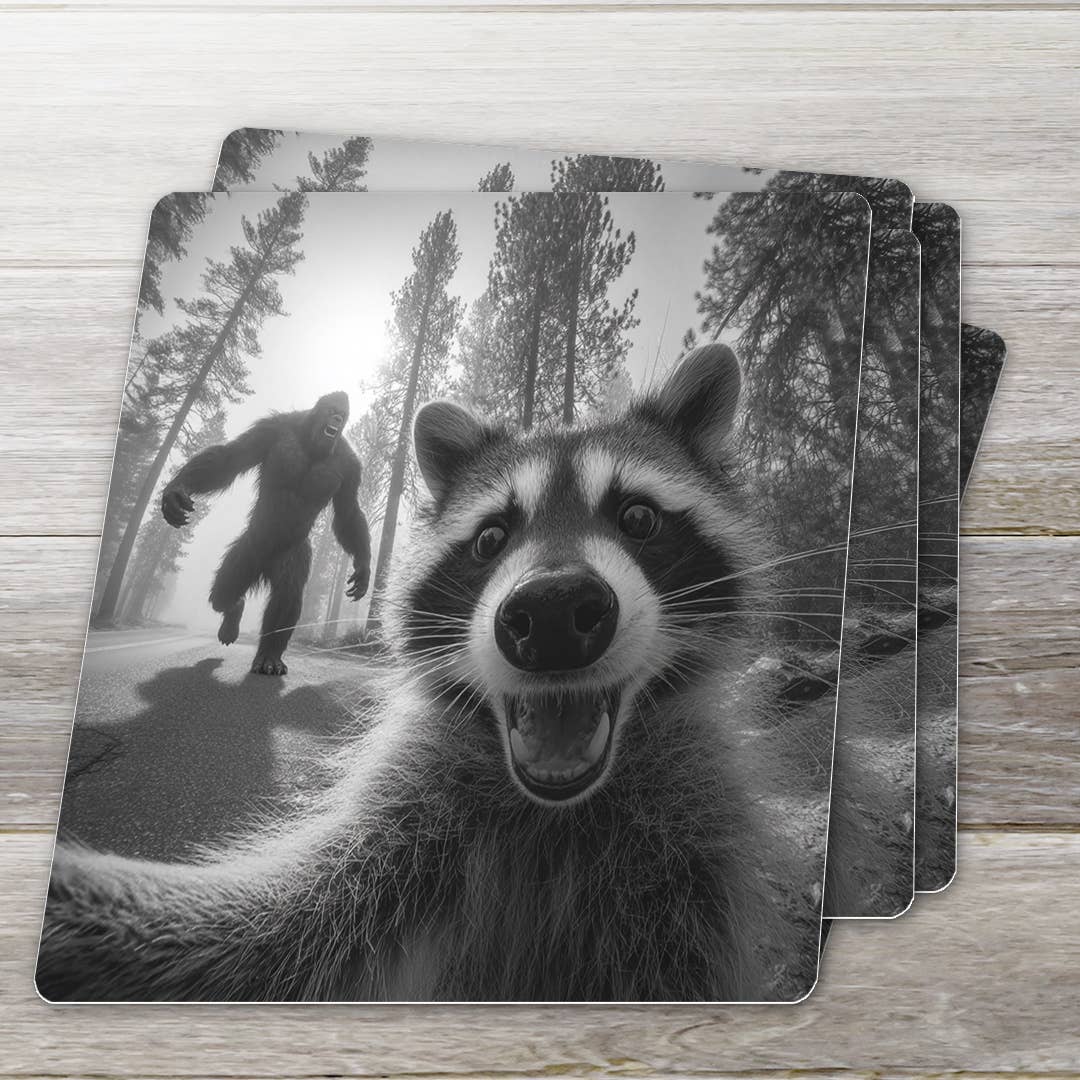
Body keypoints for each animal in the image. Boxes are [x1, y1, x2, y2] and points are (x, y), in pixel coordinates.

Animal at [37, 345, 830, 1003]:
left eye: (637, 517)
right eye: (490, 538)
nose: (549, 613)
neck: (555, 813)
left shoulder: (691, 867)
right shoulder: (409, 819)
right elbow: (274, 935)